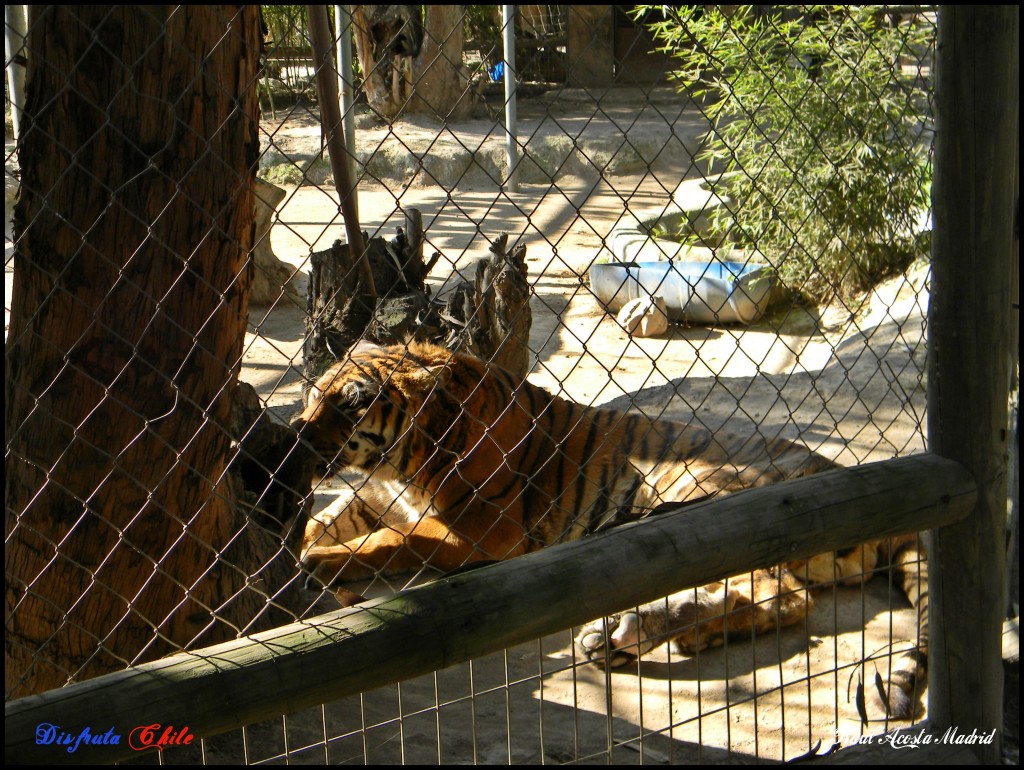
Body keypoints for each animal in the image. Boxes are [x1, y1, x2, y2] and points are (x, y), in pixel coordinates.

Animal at [290, 339, 929, 720]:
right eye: (313, 394)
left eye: (349, 404)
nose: (295, 436)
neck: (403, 461)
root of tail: (837, 472)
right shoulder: (371, 499)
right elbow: (326, 522)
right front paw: (301, 551)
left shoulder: (482, 533)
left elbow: (391, 543)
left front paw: (318, 566)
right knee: (778, 599)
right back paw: (647, 637)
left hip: (694, 486)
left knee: (782, 596)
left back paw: (630, 632)